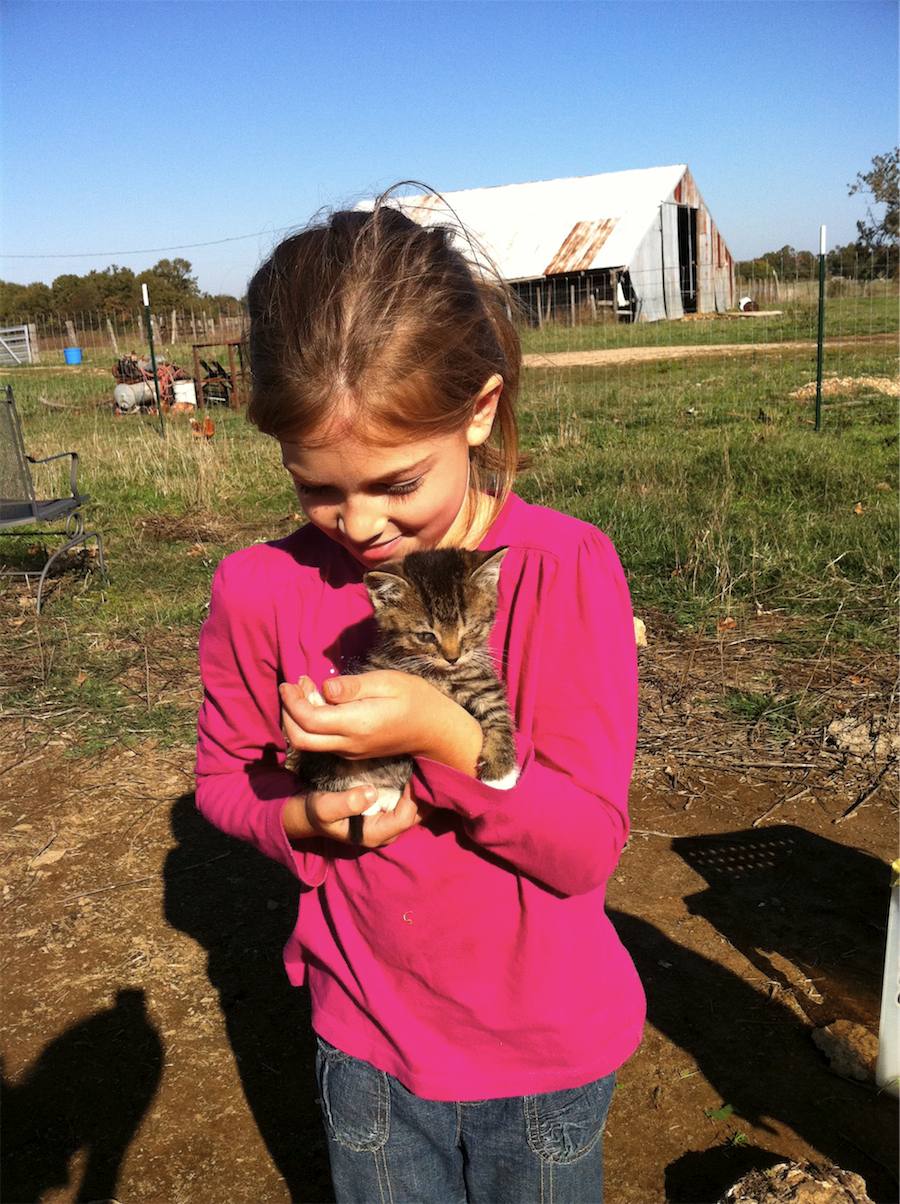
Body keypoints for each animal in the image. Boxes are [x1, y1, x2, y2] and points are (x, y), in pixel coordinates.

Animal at [286, 546, 519, 842]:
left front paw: (501, 774)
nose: (452, 657)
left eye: (471, 629)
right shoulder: (377, 666)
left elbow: (499, 715)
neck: (437, 674)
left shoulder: (483, 683)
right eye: (426, 636)